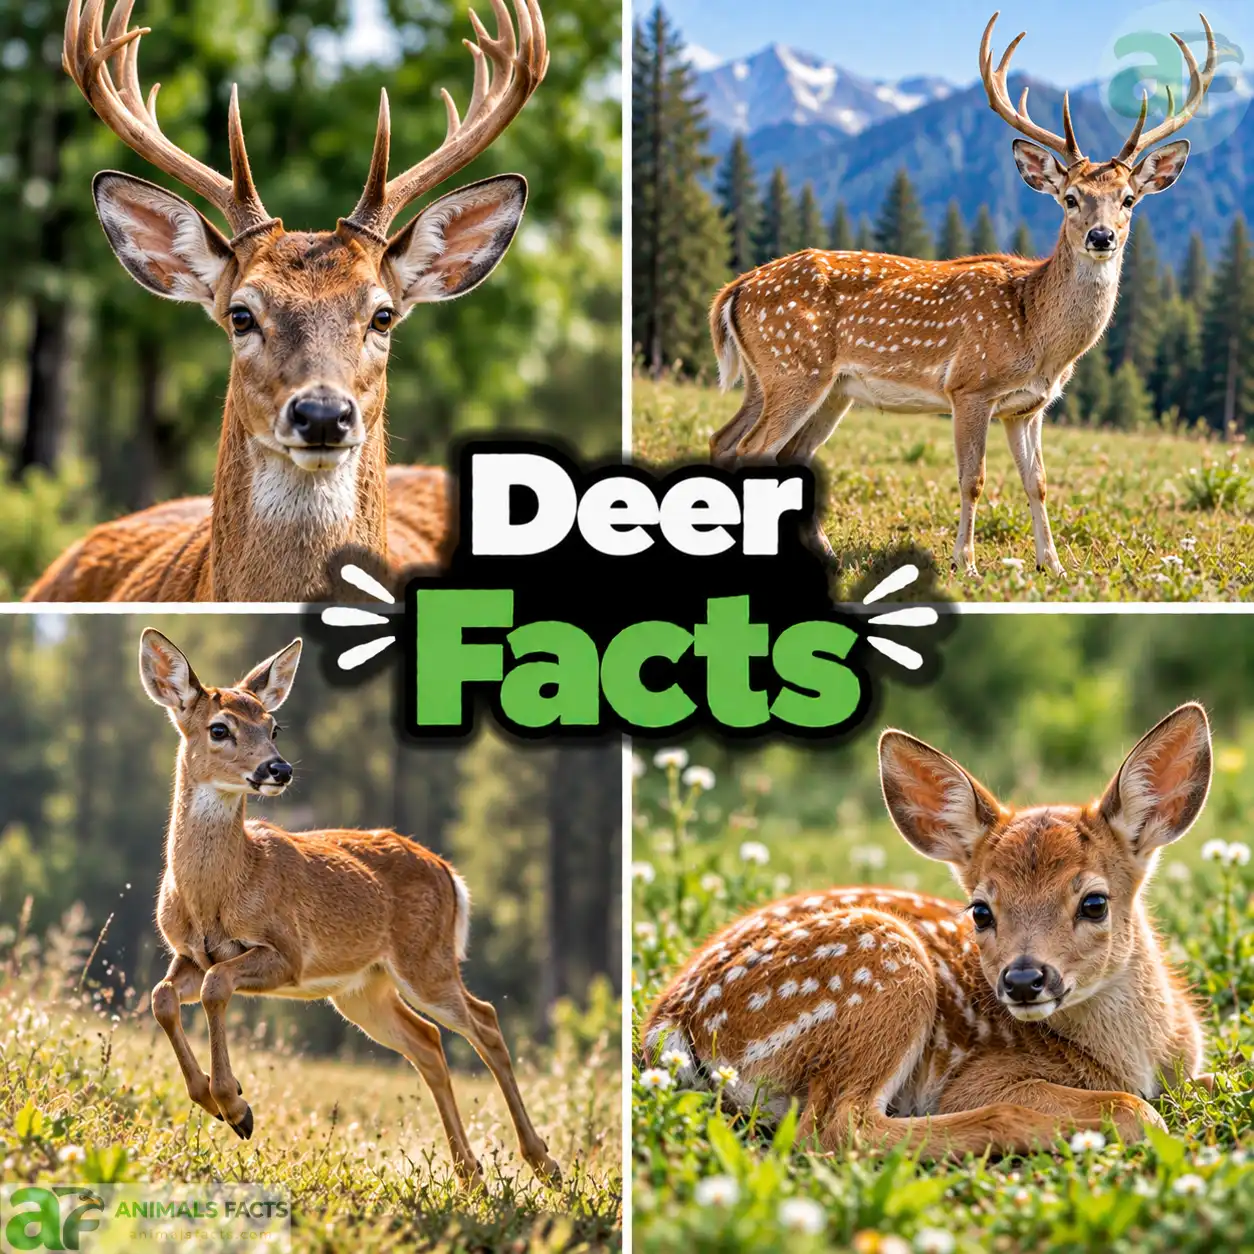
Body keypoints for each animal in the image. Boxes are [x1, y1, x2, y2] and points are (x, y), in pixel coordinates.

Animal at [137, 627, 560, 1187]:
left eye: (273, 725)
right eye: (219, 728)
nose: (279, 768)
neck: (218, 893)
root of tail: (450, 874)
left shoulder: (287, 953)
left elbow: (215, 987)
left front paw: (235, 1106)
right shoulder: (188, 953)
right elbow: (162, 997)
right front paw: (215, 1099)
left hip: (424, 961)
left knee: (484, 1022)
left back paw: (544, 1163)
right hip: (363, 988)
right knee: (427, 1041)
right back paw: (469, 1171)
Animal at [643, 704, 1218, 1157]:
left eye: (1095, 903)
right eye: (980, 911)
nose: (1023, 980)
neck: (1137, 1057)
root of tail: (671, 1024)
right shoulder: (981, 1077)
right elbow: (1133, 1109)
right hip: (885, 968)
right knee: (838, 1127)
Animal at [707, 12, 1216, 578]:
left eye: (1128, 199)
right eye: (1070, 198)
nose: (1101, 236)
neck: (1037, 333)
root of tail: (734, 289)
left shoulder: (1028, 407)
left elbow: (1038, 483)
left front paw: (1054, 566)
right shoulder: (970, 386)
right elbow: (973, 479)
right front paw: (965, 564)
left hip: (802, 384)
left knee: (737, 443)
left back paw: (826, 553)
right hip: (795, 367)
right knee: (754, 449)